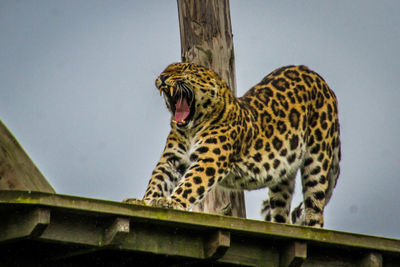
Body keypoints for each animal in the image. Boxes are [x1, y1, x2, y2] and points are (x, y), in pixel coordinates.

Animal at [136, 62, 340, 228]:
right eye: (165, 69)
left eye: (185, 69)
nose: (163, 77)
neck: (191, 129)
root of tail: (318, 78)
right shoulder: (171, 160)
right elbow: (158, 180)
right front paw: (144, 202)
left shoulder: (208, 161)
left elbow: (191, 184)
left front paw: (172, 202)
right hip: (283, 173)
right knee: (282, 210)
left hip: (317, 161)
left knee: (315, 208)